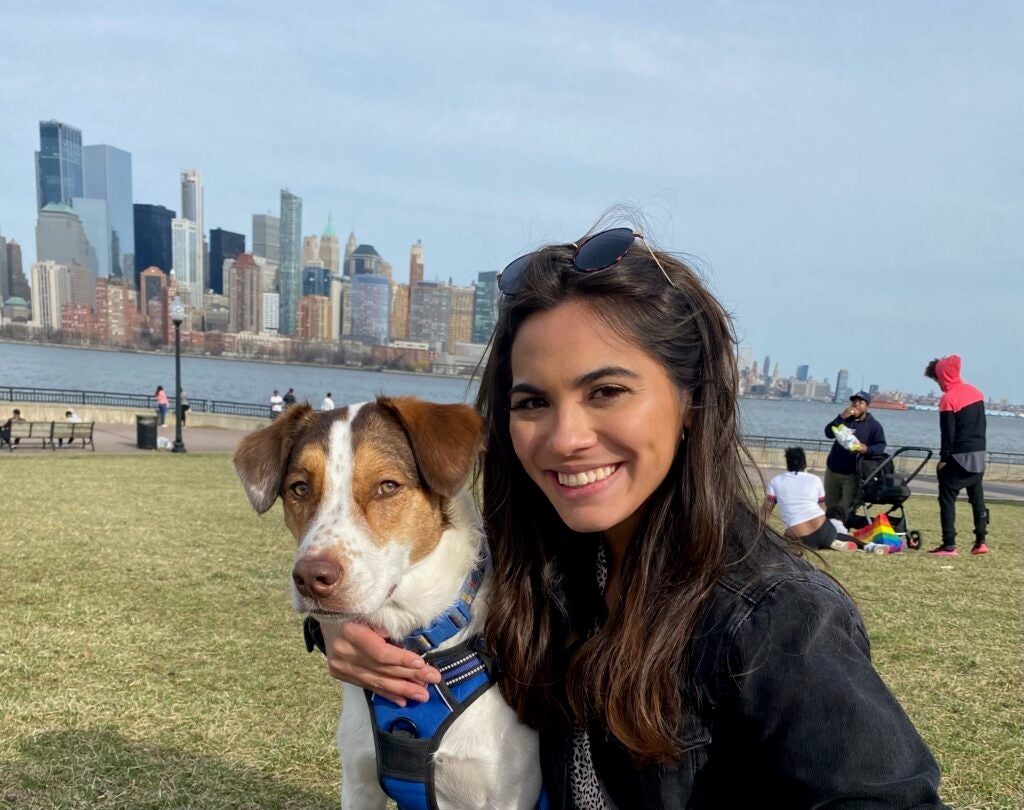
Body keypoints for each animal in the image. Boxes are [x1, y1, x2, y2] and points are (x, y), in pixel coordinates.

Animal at [229, 397, 540, 810]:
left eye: (387, 486)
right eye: (299, 488)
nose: (310, 578)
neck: (416, 638)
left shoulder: (505, 793)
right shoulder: (360, 780)